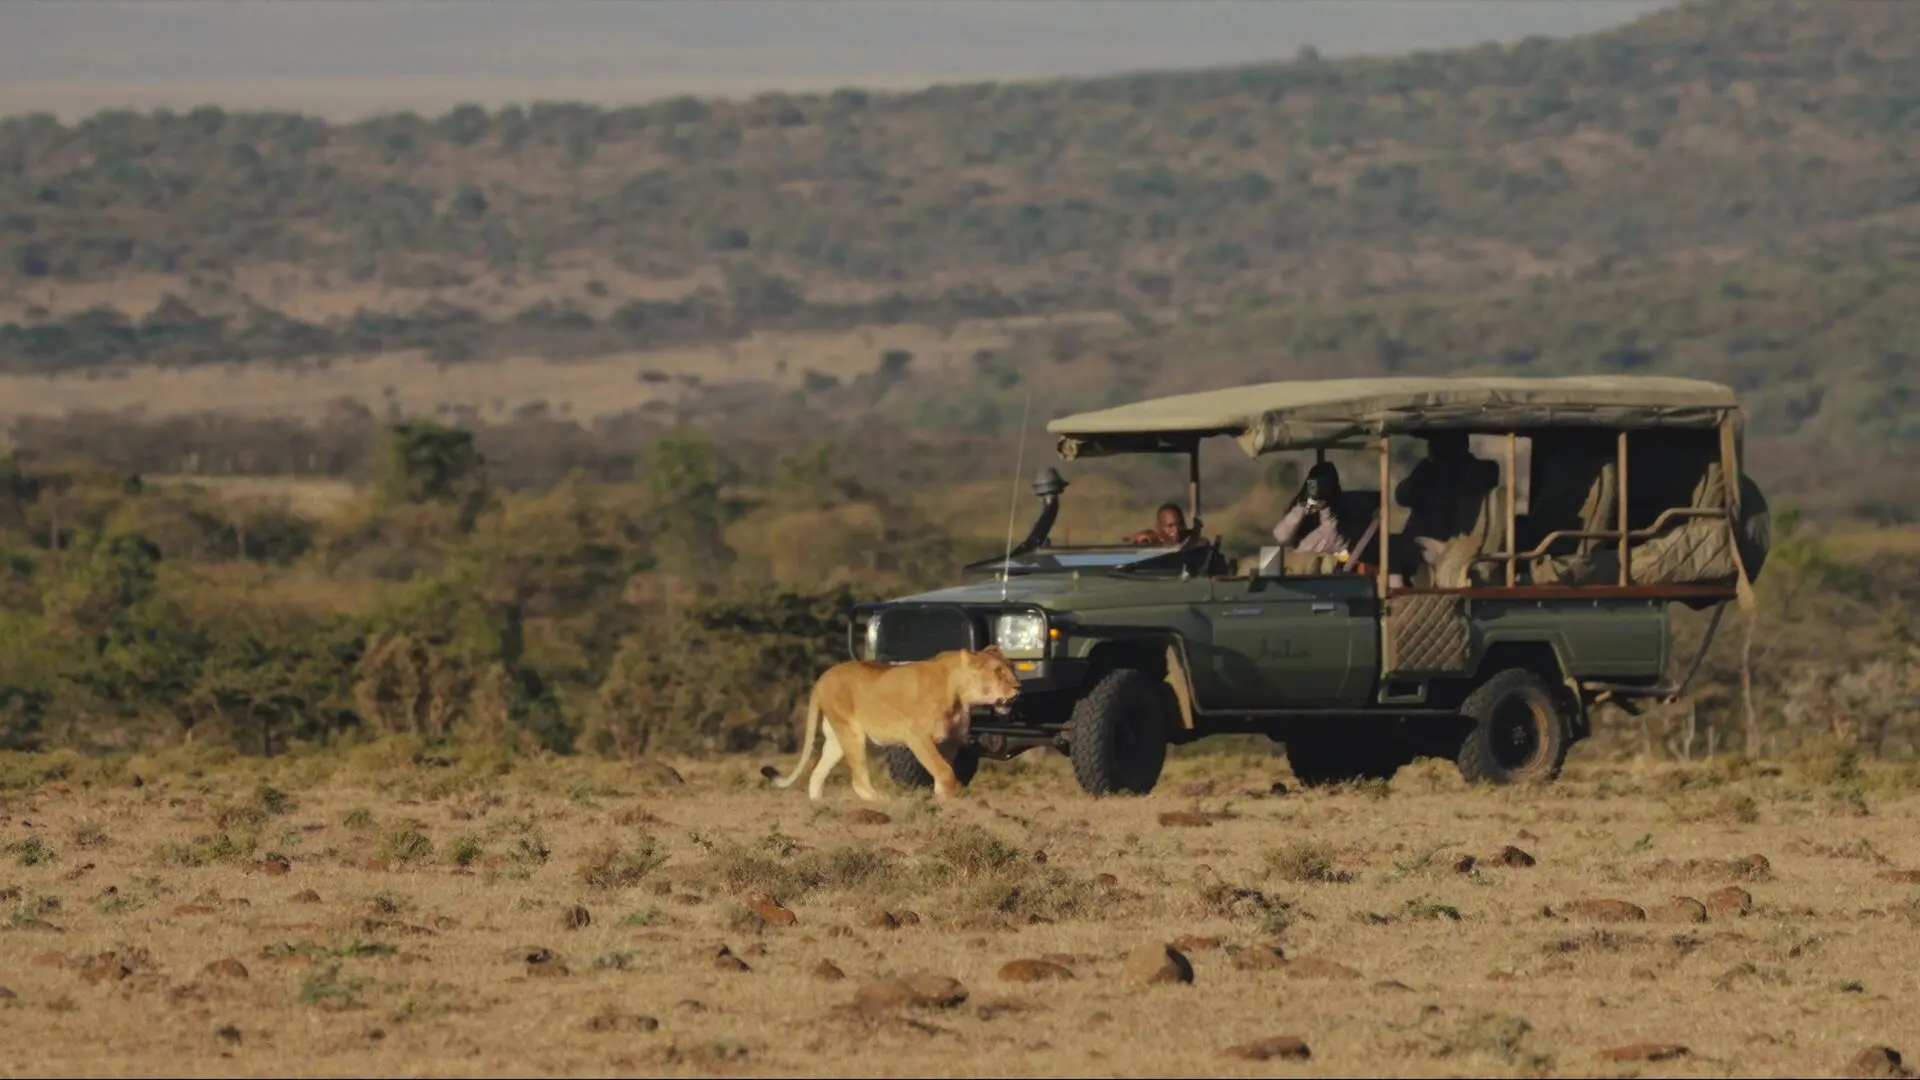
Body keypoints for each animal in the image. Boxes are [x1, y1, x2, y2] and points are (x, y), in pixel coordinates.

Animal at [760, 646, 1021, 801]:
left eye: (1012, 668)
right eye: (998, 672)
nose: (1019, 687)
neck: (961, 695)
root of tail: (822, 677)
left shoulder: (950, 740)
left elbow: (944, 769)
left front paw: (942, 799)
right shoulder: (917, 737)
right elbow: (943, 770)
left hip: (836, 739)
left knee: (816, 775)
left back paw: (818, 805)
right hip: (852, 733)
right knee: (858, 780)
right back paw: (882, 801)